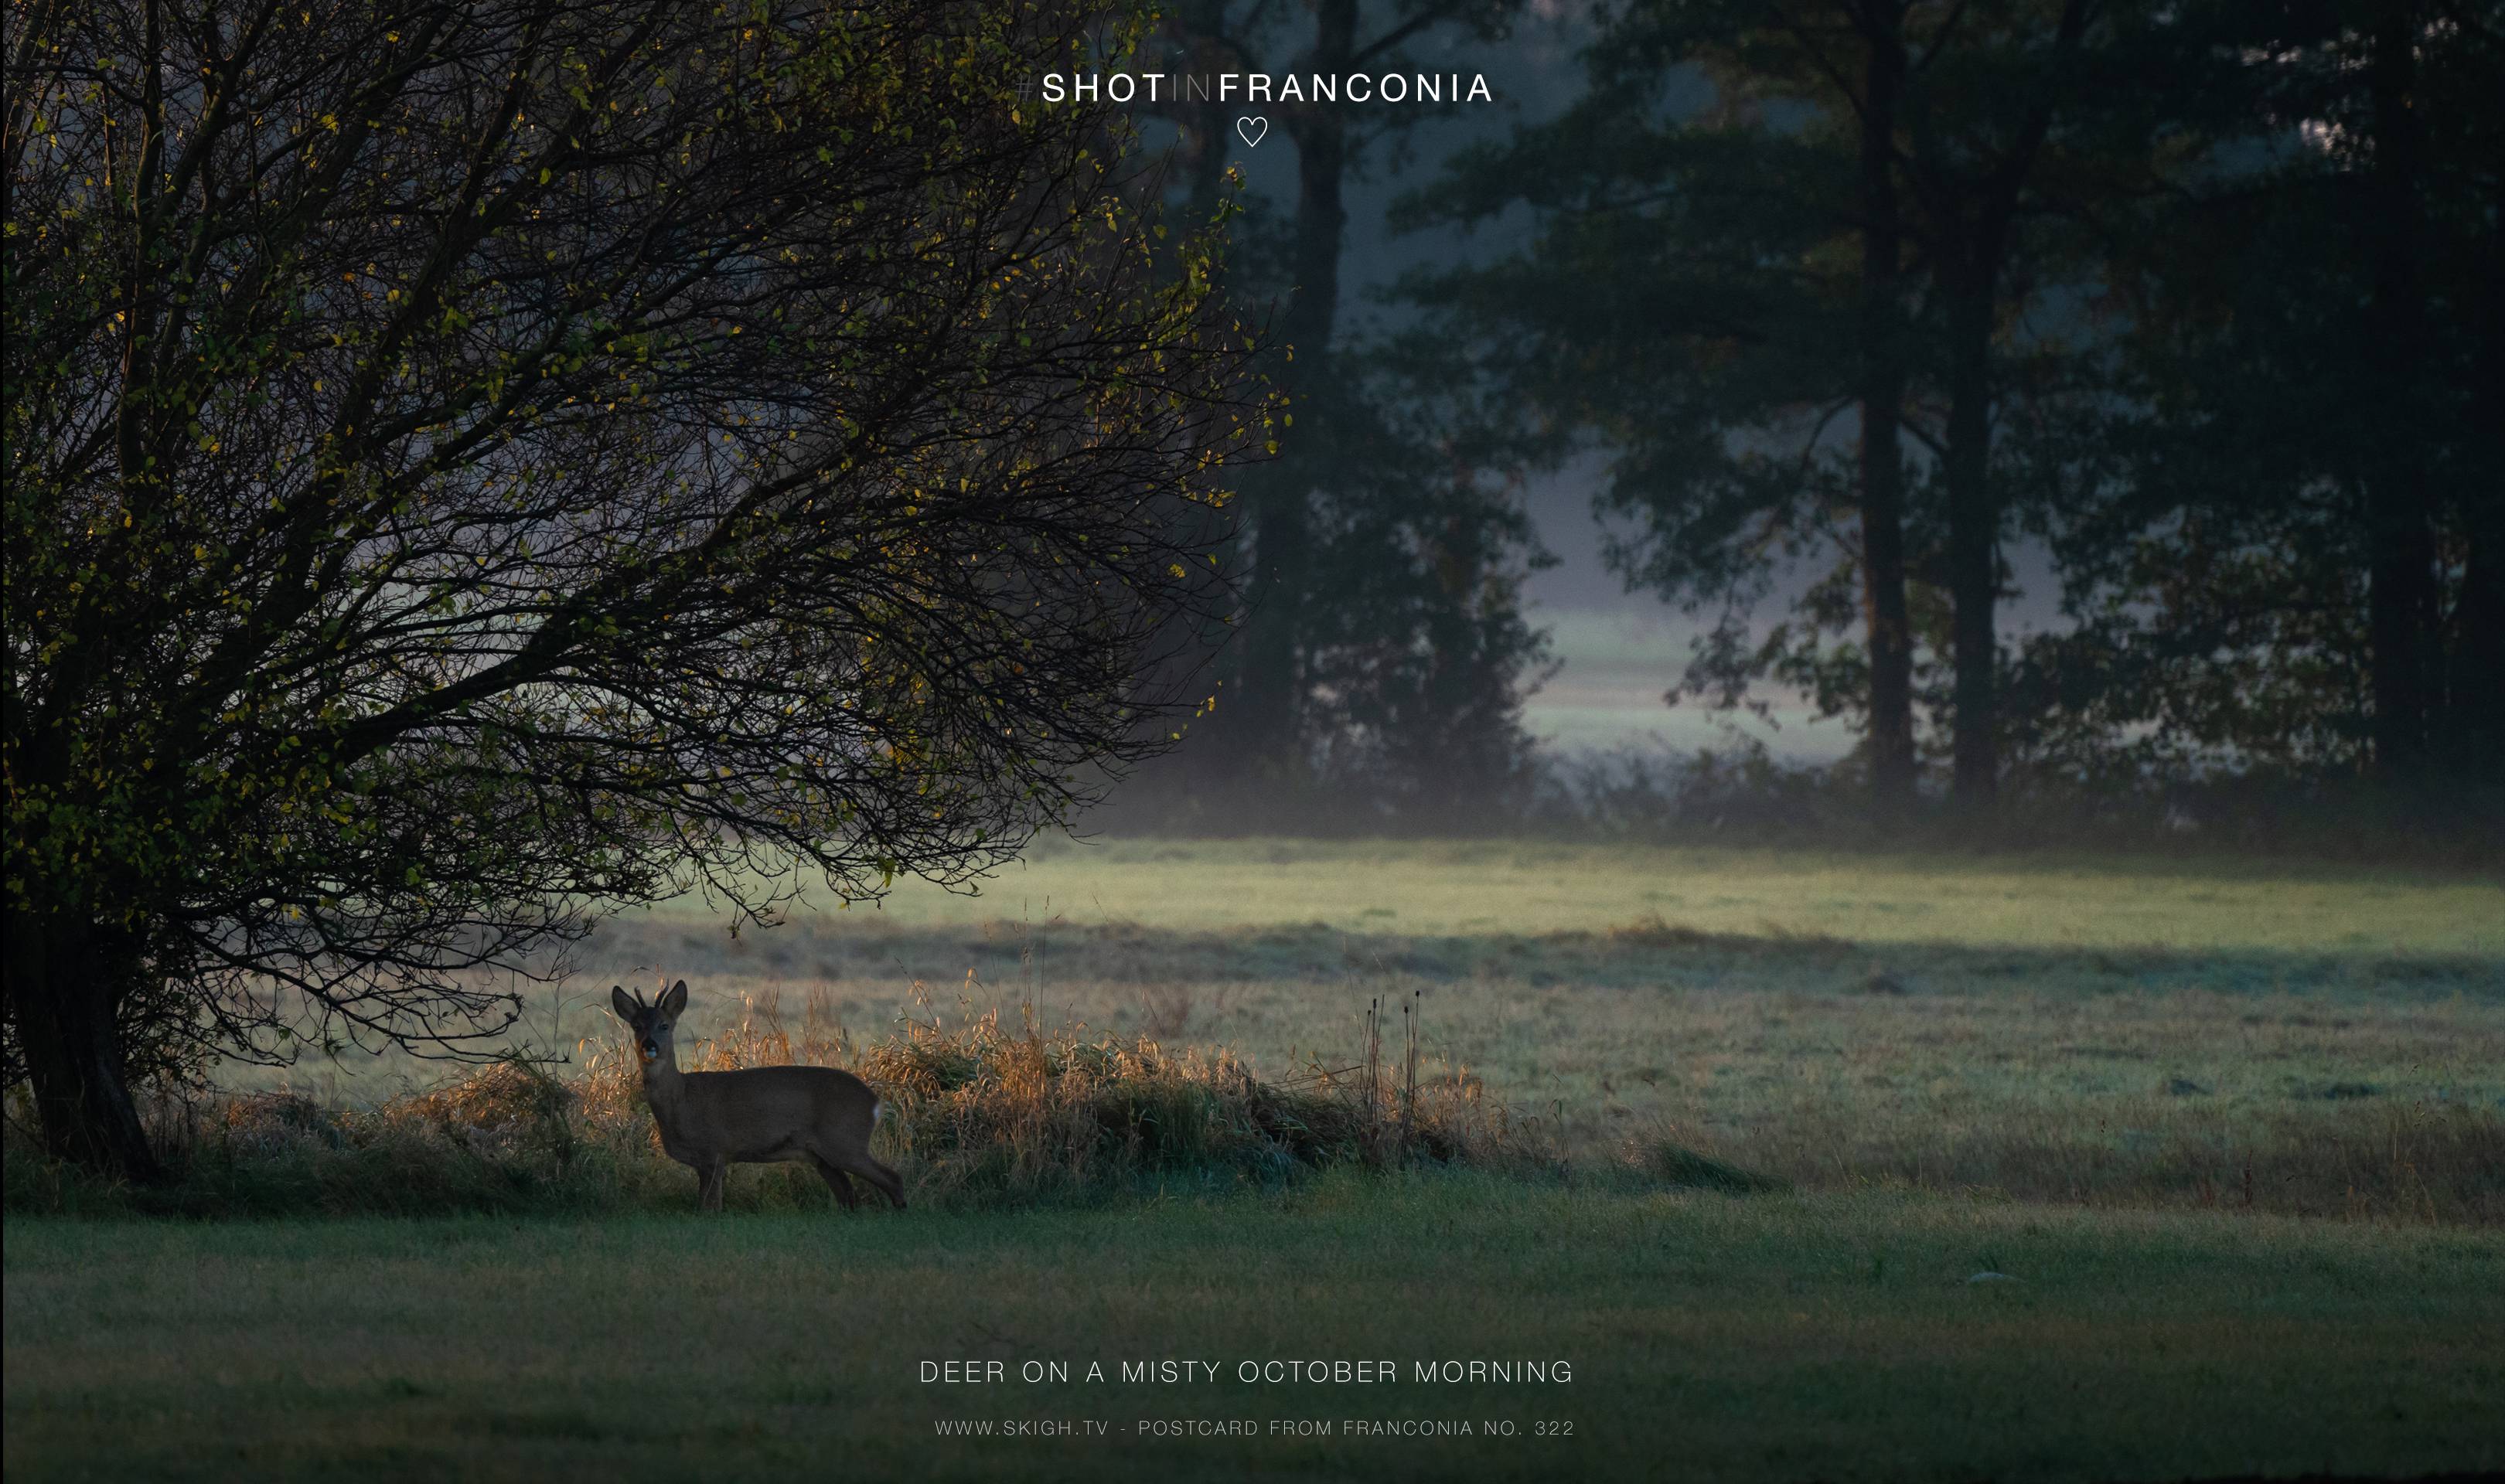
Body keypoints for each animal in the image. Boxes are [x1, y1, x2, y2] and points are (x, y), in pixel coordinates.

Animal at [610, 980, 906, 1214]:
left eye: (664, 1025)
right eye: (636, 1026)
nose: (649, 1045)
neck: (681, 1100)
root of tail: (875, 1102)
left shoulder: (715, 1151)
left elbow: (710, 1209)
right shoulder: (705, 1162)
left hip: (845, 1140)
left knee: (892, 1177)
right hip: (822, 1155)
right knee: (848, 1193)